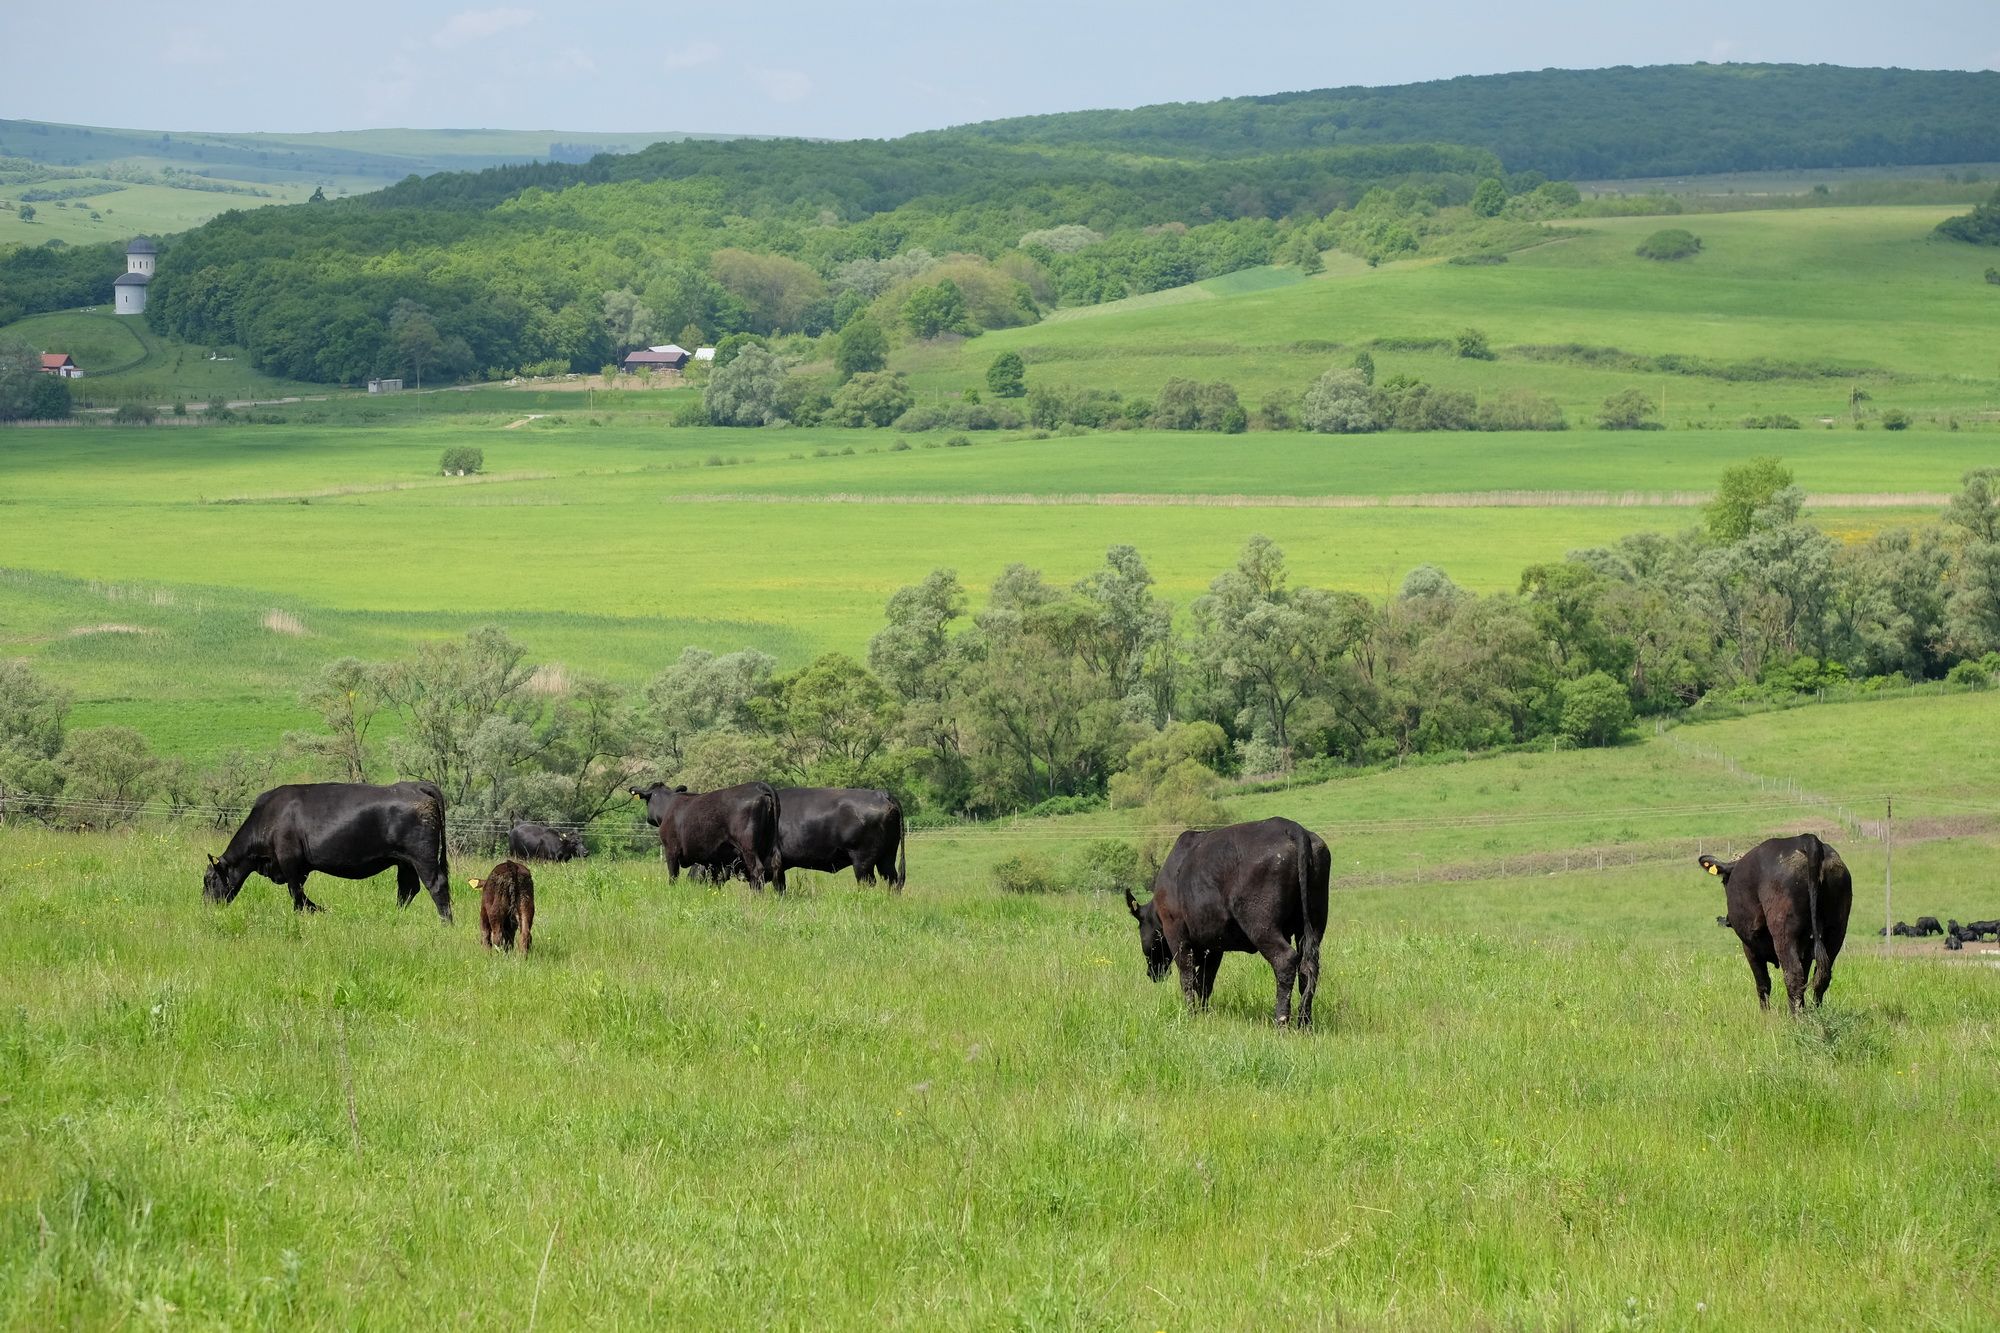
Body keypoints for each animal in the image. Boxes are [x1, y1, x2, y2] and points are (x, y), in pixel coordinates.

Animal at [628, 780, 784, 892]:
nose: (648, 818)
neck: (668, 806)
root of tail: (759, 786)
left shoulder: (671, 849)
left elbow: (673, 876)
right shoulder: (713, 859)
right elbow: (714, 879)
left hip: (748, 847)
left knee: (757, 870)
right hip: (766, 845)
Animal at [1704, 832, 1856, 1008]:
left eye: (1723, 881)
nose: (1727, 920)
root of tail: (1807, 839)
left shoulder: (1749, 946)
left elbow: (1763, 983)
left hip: (1784, 932)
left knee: (1793, 976)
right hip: (1836, 931)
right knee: (1820, 977)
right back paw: (1814, 1011)